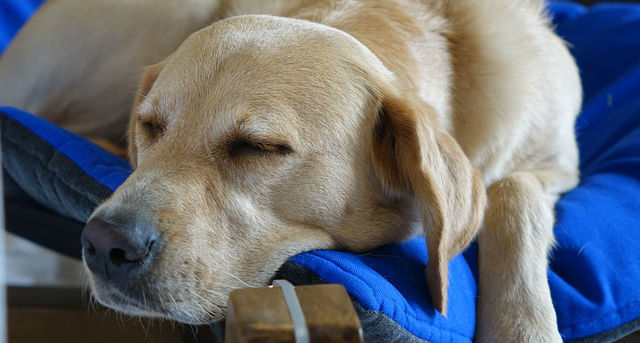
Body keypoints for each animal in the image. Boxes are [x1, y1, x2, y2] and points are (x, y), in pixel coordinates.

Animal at [0, 1, 580, 342]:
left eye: (259, 147)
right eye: (151, 127)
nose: (101, 244)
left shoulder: (560, 162)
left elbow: (513, 195)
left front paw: (522, 326)